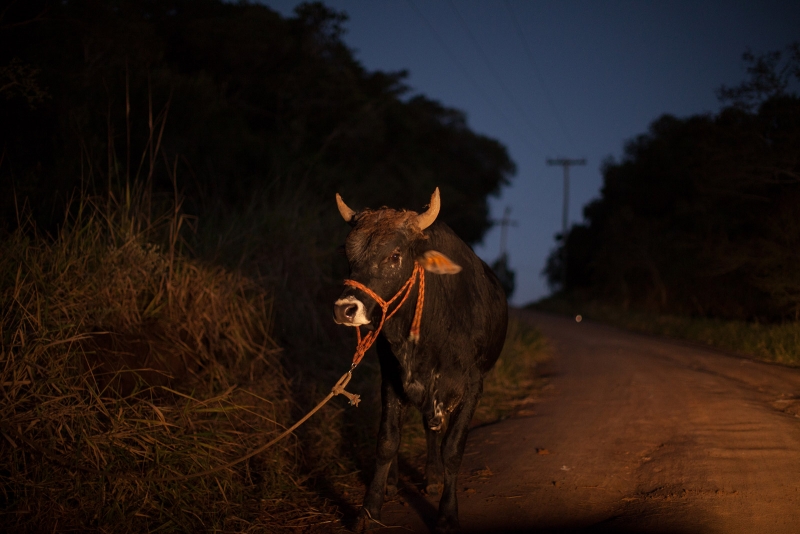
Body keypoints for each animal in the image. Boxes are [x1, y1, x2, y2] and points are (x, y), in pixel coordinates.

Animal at [332, 189, 506, 534]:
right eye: (349, 255)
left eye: (395, 255)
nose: (345, 308)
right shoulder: (391, 377)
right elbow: (387, 441)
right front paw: (369, 510)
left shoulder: (472, 385)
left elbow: (452, 448)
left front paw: (447, 514)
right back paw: (395, 482)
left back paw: (434, 479)